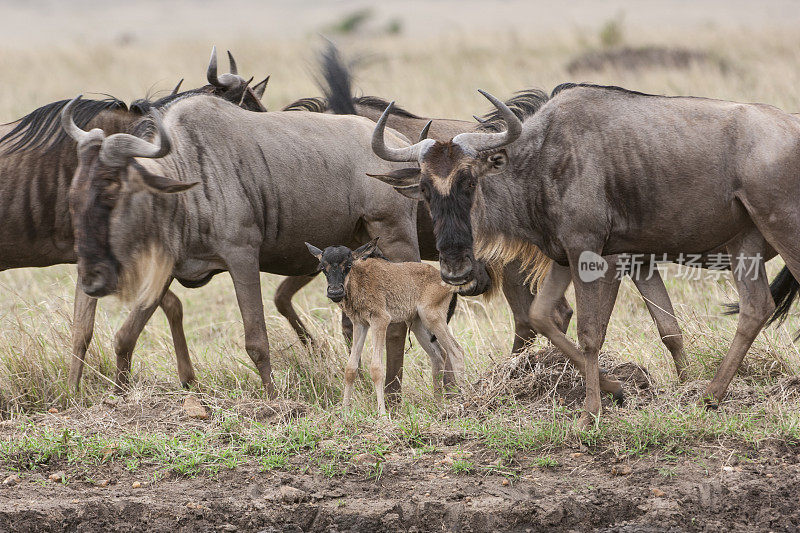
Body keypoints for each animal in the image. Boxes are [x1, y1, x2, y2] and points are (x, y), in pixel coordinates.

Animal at [310, 239, 466, 414]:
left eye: (348, 265)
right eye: (323, 268)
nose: (335, 292)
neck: (359, 278)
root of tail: (448, 285)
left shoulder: (380, 321)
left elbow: (376, 369)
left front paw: (383, 414)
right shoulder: (360, 324)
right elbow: (350, 368)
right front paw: (344, 412)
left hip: (433, 318)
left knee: (456, 351)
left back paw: (464, 400)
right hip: (418, 324)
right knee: (439, 355)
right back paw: (438, 405)